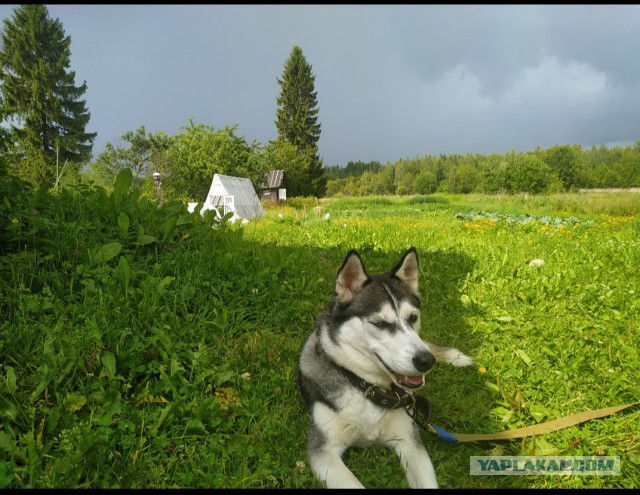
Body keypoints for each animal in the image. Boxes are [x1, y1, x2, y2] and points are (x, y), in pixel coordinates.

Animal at [298, 248, 472, 488]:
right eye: (379, 323)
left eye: (413, 317)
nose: (426, 361)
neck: (367, 386)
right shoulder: (323, 451)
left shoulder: (408, 440)